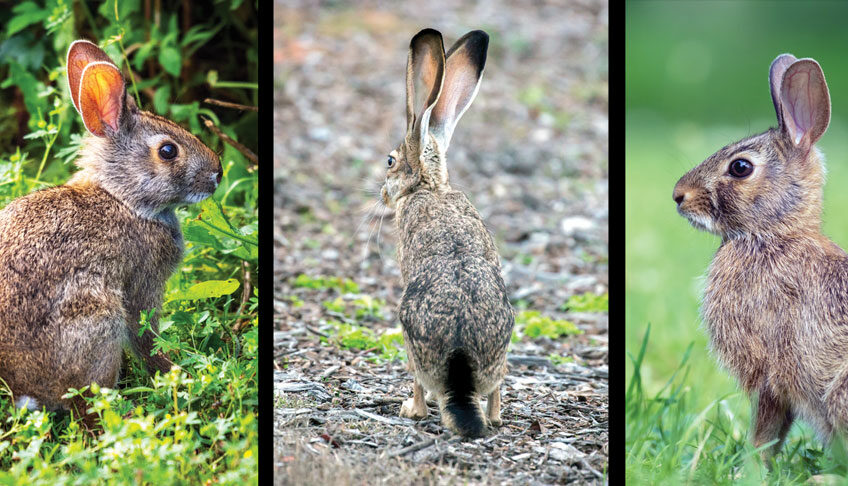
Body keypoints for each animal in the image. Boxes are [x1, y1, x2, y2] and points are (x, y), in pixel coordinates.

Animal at [0, 39, 222, 428]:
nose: (218, 173)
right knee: (87, 406)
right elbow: (146, 336)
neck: (122, 198)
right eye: (168, 151)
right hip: (97, 321)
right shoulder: (144, 285)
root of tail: (22, 389)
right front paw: (173, 372)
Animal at [380, 29, 512, 440]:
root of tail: (460, 369)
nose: (383, 194)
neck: (431, 186)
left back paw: (411, 409)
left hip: (412, 342)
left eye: (390, 161)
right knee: (496, 392)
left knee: (421, 387)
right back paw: (493, 418)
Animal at [672, 54, 848, 460]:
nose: (678, 195)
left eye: (741, 167)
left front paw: (750, 464)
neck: (772, 235)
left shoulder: (768, 373)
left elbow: (766, 428)